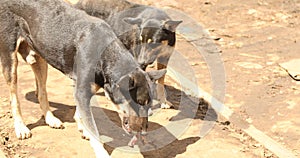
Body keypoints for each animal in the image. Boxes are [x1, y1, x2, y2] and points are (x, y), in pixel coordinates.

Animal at [0, 0, 164, 152]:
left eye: (149, 104)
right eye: (139, 102)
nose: (144, 132)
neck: (105, 54)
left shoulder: (85, 88)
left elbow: (80, 114)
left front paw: (82, 128)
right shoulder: (82, 91)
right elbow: (94, 131)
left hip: (39, 58)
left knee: (41, 91)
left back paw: (50, 119)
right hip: (10, 59)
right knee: (14, 98)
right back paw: (21, 127)